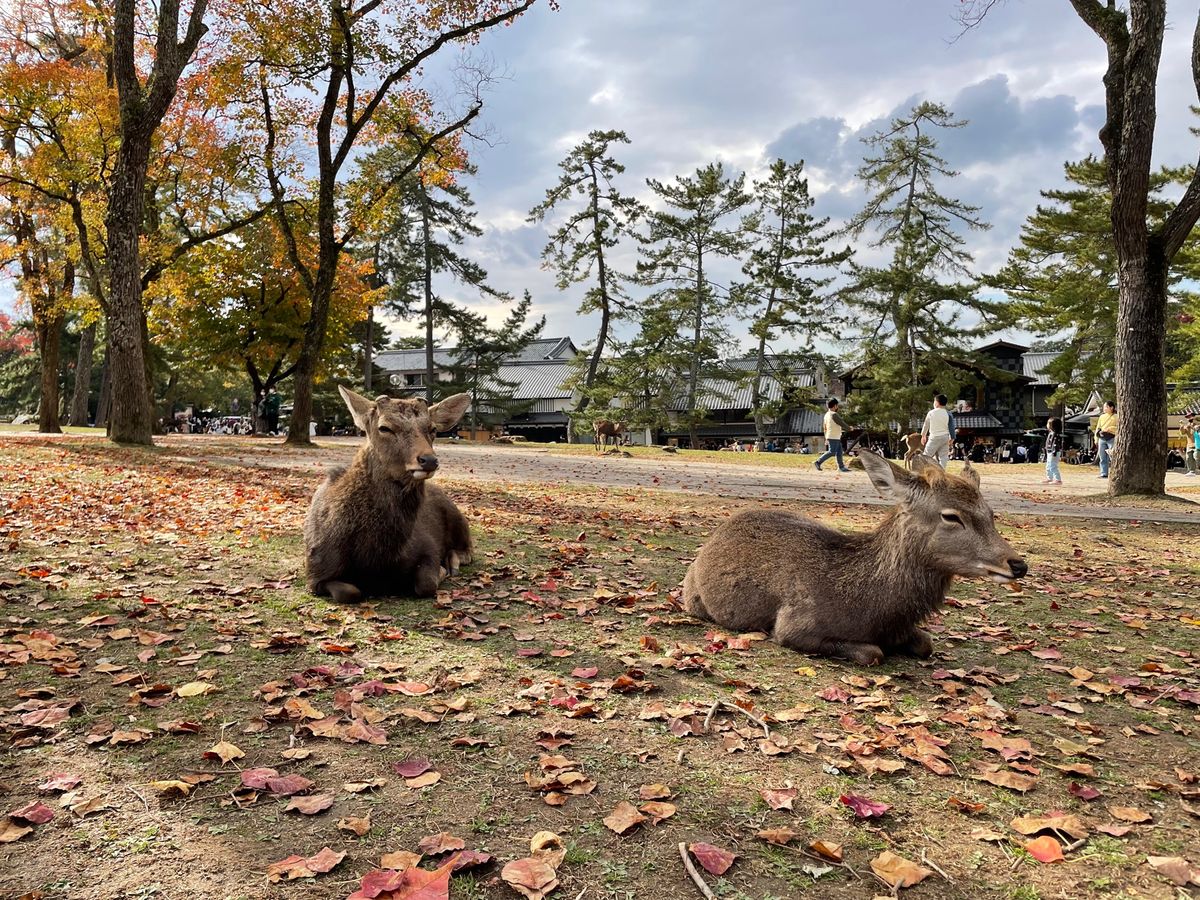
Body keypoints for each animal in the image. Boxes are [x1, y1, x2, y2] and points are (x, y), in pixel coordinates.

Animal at [304, 386, 473, 604]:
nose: (429, 460)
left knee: (467, 551)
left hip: (458, 518)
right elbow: (349, 591)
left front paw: (441, 570)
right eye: (384, 428)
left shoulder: (428, 546)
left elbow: (426, 584)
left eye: (433, 429)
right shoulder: (315, 571)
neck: (376, 560)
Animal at [681, 450, 1026, 666]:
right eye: (951, 516)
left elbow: (927, 644)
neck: (875, 611)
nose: (1018, 563)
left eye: (992, 513)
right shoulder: (793, 626)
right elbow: (873, 653)